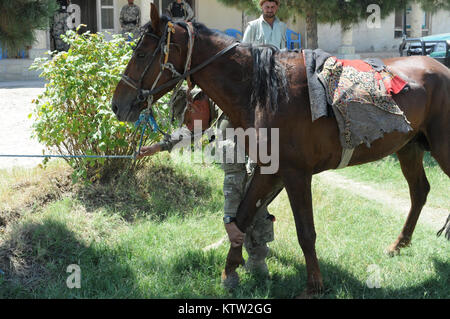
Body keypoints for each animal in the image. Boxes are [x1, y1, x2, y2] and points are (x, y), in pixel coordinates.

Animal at [111, 3, 450, 298]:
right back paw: (399, 244)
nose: (117, 105)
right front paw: (230, 271)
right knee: (420, 191)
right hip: (409, 148)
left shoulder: (295, 174)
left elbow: (305, 231)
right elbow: (243, 216)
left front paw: (314, 285)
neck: (264, 92)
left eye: (141, 53)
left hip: (441, 149)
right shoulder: (268, 169)